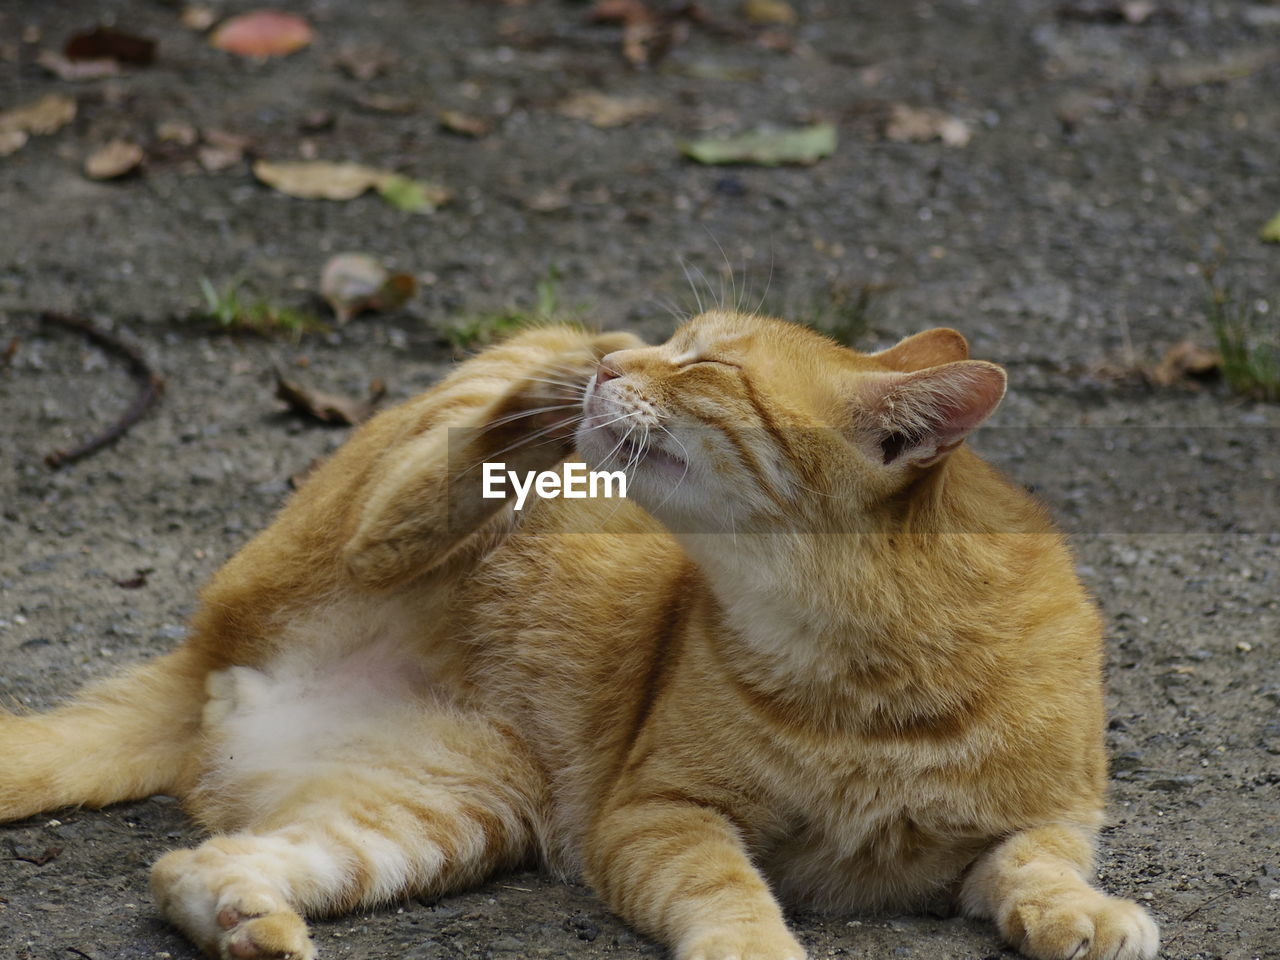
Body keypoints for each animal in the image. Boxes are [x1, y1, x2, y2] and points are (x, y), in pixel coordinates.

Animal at [0, 313, 1162, 960]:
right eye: (678, 342)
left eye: (708, 365)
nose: (629, 363)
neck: (865, 661)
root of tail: (205, 658)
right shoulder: (655, 814)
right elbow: (725, 888)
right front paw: (753, 946)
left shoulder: (1056, 813)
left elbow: (1038, 867)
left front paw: (1083, 914)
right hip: (387, 509)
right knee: (404, 504)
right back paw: (545, 392)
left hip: (450, 813)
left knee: (197, 863)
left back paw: (247, 921)